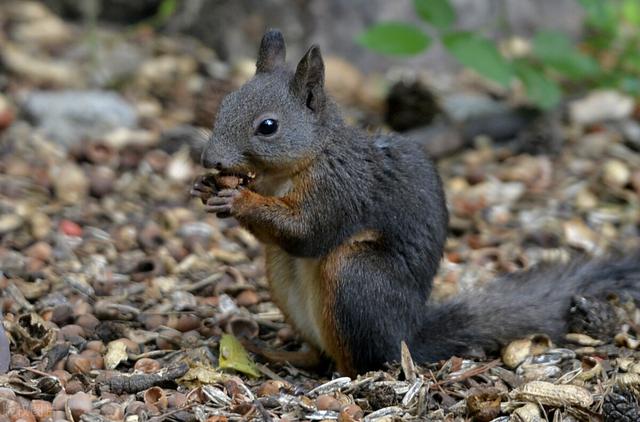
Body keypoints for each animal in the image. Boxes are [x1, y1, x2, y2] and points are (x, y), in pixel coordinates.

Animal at [190, 29, 640, 374]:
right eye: (225, 103)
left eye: (268, 126)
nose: (210, 159)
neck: (293, 169)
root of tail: (407, 335)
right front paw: (207, 187)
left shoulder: (341, 189)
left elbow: (309, 233)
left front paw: (239, 198)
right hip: (283, 276)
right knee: (318, 352)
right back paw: (275, 353)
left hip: (355, 275)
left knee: (363, 361)